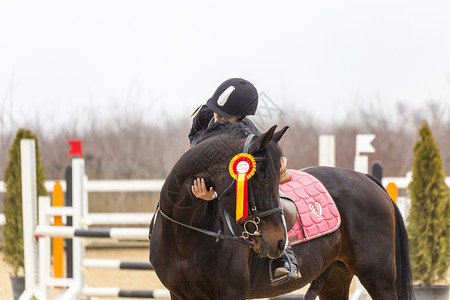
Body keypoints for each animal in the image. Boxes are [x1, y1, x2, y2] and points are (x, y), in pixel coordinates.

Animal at [149, 122, 414, 300]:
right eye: (263, 179)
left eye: (276, 179)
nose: (278, 242)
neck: (183, 233)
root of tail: (366, 178)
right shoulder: (178, 294)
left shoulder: (230, 293)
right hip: (337, 276)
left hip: (378, 277)